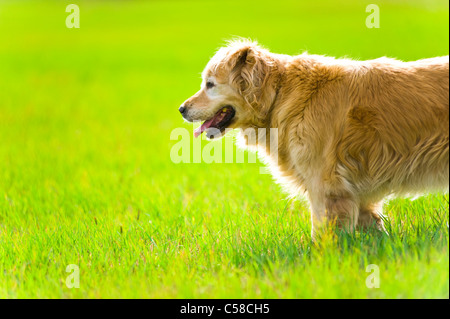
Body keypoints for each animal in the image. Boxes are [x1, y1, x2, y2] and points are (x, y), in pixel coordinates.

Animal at [180, 38, 450, 236]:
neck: (279, 95)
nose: (181, 109)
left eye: (210, 84)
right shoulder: (353, 192)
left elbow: (322, 233)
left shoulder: (325, 183)